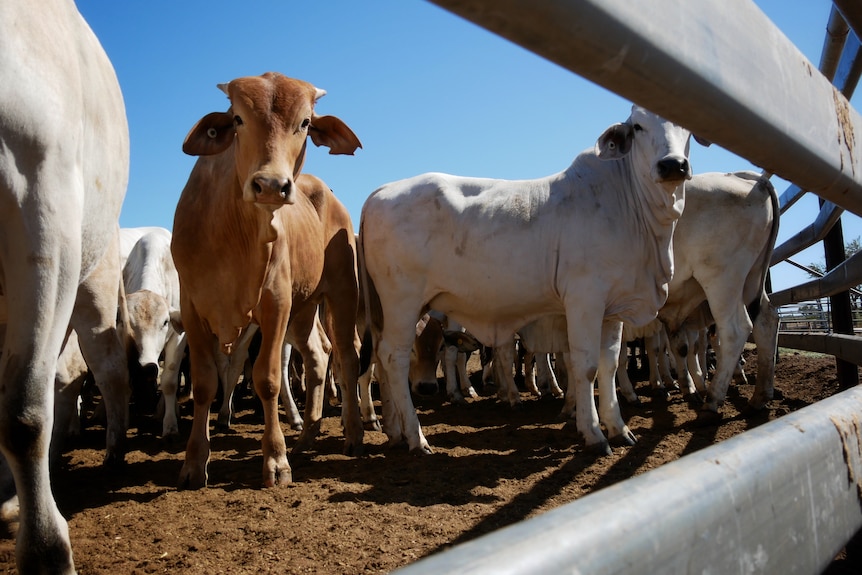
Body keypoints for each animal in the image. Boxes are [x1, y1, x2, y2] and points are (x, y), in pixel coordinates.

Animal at [121, 227, 187, 438]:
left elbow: (169, 382)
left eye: (165, 322)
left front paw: (170, 425)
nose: (146, 367)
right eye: (126, 323)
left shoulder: (179, 337)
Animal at [174, 70, 366, 488]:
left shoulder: (275, 301)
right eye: (238, 119)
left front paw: (276, 461)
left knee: (348, 354)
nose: (272, 186)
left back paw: (354, 433)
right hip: (305, 307)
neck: (231, 233)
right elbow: (203, 383)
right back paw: (307, 436)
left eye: (305, 123)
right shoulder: (191, 305)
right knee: (318, 355)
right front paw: (194, 462)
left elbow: (267, 379)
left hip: (342, 291)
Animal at [362, 103, 700, 454]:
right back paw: (417, 437)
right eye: (637, 127)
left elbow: (608, 365)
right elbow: (587, 367)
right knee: (394, 357)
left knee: (382, 359)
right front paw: (594, 433)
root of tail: (381, 191)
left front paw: (619, 428)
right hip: (403, 303)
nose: (672, 165)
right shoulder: (584, 300)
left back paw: (396, 431)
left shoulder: (613, 308)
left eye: (687, 127)